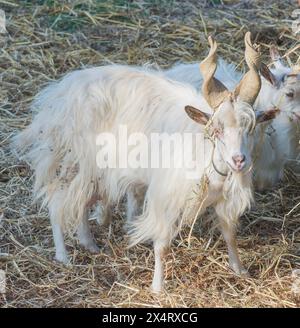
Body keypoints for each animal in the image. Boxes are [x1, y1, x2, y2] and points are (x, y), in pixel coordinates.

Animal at [12, 32, 274, 290]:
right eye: (216, 130)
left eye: (250, 128)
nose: (238, 160)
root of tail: (58, 94)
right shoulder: (165, 199)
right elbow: (162, 245)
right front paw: (158, 288)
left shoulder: (225, 201)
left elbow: (230, 234)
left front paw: (240, 270)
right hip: (75, 161)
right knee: (58, 202)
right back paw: (63, 257)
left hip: (92, 171)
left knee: (80, 203)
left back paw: (90, 244)